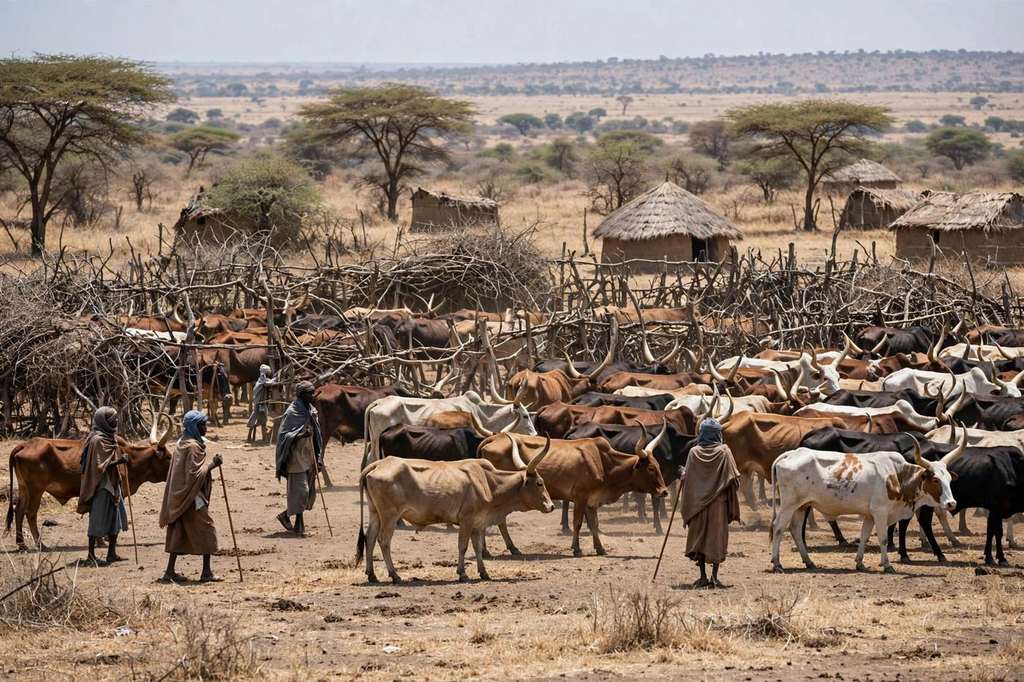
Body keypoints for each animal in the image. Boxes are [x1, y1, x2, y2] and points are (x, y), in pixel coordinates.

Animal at [5, 421, 173, 550]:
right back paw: (41, 544)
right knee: (30, 513)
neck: (131, 459)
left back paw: (21, 545)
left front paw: (102, 539)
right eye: (168, 457)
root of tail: (25, 445)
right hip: (36, 490)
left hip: (24, 488)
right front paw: (103, 541)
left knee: (18, 511)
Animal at [356, 441, 555, 583]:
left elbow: (478, 547)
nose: (551, 506)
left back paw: (372, 575)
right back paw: (395, 575)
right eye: (540, 483)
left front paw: (484, 572)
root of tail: (377, 464)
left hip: (375, 513)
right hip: (389, 516)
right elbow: (463, 546)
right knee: (383, 541)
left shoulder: (477, 524)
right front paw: (462, 573)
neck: (487, 482)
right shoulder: (467, 520)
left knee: (370, 538)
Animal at [478, 428, 669, 556]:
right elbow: (577, 523)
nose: (665, 491)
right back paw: (506, 548)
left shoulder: (592, 501)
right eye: (651, 468)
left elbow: (594, 524)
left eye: (659, 466)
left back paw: (496, 550)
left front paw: (600, 548)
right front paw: (577, 549)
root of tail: (493, 437)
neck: (603, 461)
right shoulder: (580, 498)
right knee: (498, 520)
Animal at [770, 440, 959, 573]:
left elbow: (864, 536)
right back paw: (777, 563)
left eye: (949, 479)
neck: (896, 475)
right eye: (935, 480)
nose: (951, 503)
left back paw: (809, 562)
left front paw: (860, 563)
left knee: (795, 529)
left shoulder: (870, 515)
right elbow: (883, 539)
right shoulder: (880, 512)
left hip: (801, 506)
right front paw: (887, 565)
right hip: (789, 505)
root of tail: (790, 454)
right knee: (778, 528)